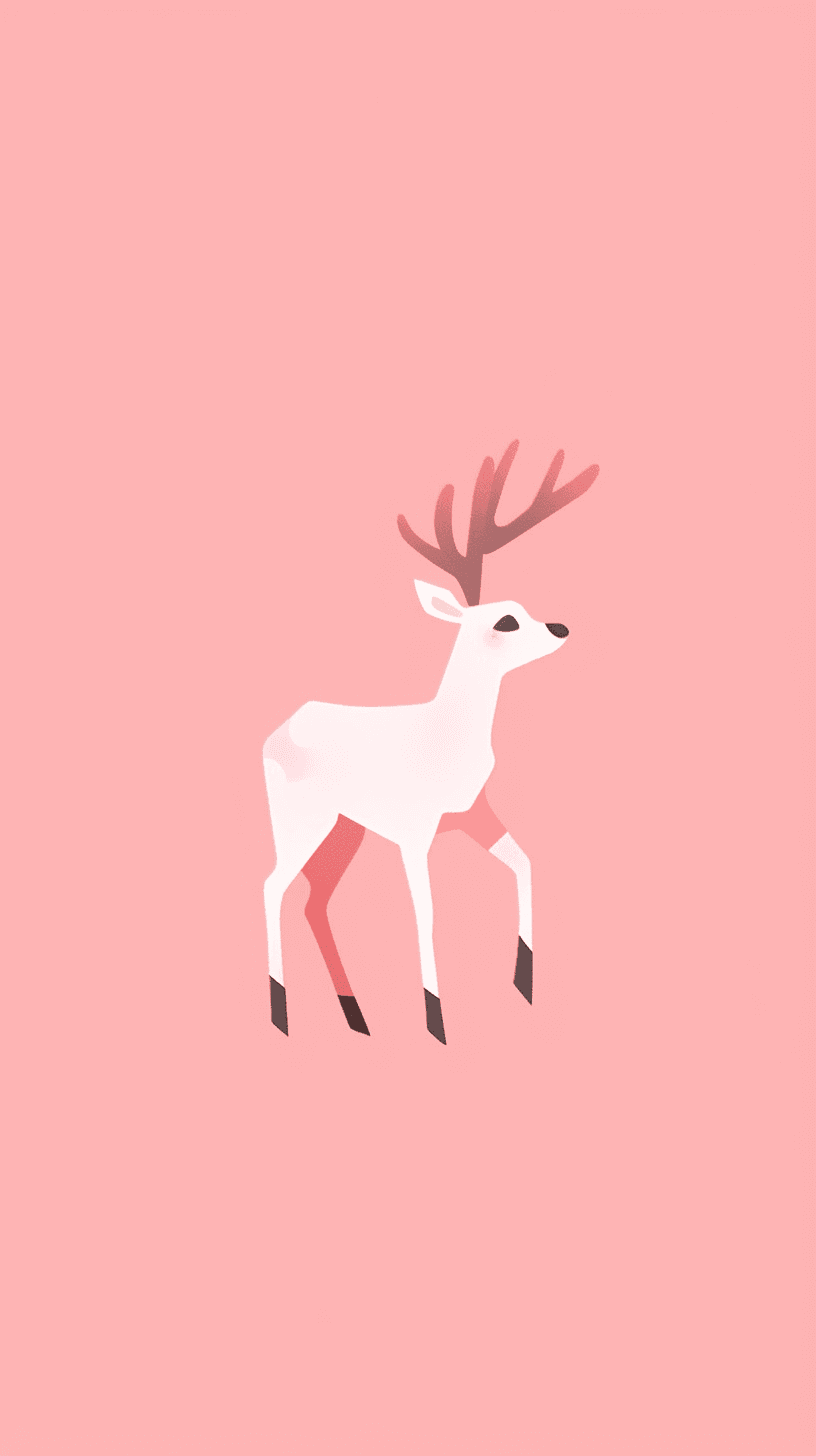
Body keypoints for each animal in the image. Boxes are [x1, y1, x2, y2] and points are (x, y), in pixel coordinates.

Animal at [263, 439, 599, 1042]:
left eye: (523, 606)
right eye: (506, 621)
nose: (561, 628)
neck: (447, 738)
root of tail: (279, 729)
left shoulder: (473, 815)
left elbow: (525, 862)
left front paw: (524, 978)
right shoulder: (414, 832)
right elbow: (428, 911)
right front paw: (436, 1018)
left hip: (346, 829)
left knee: (314, 901)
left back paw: (356, 1015)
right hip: (301, 818)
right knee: (272, 887)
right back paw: (281, 1014)